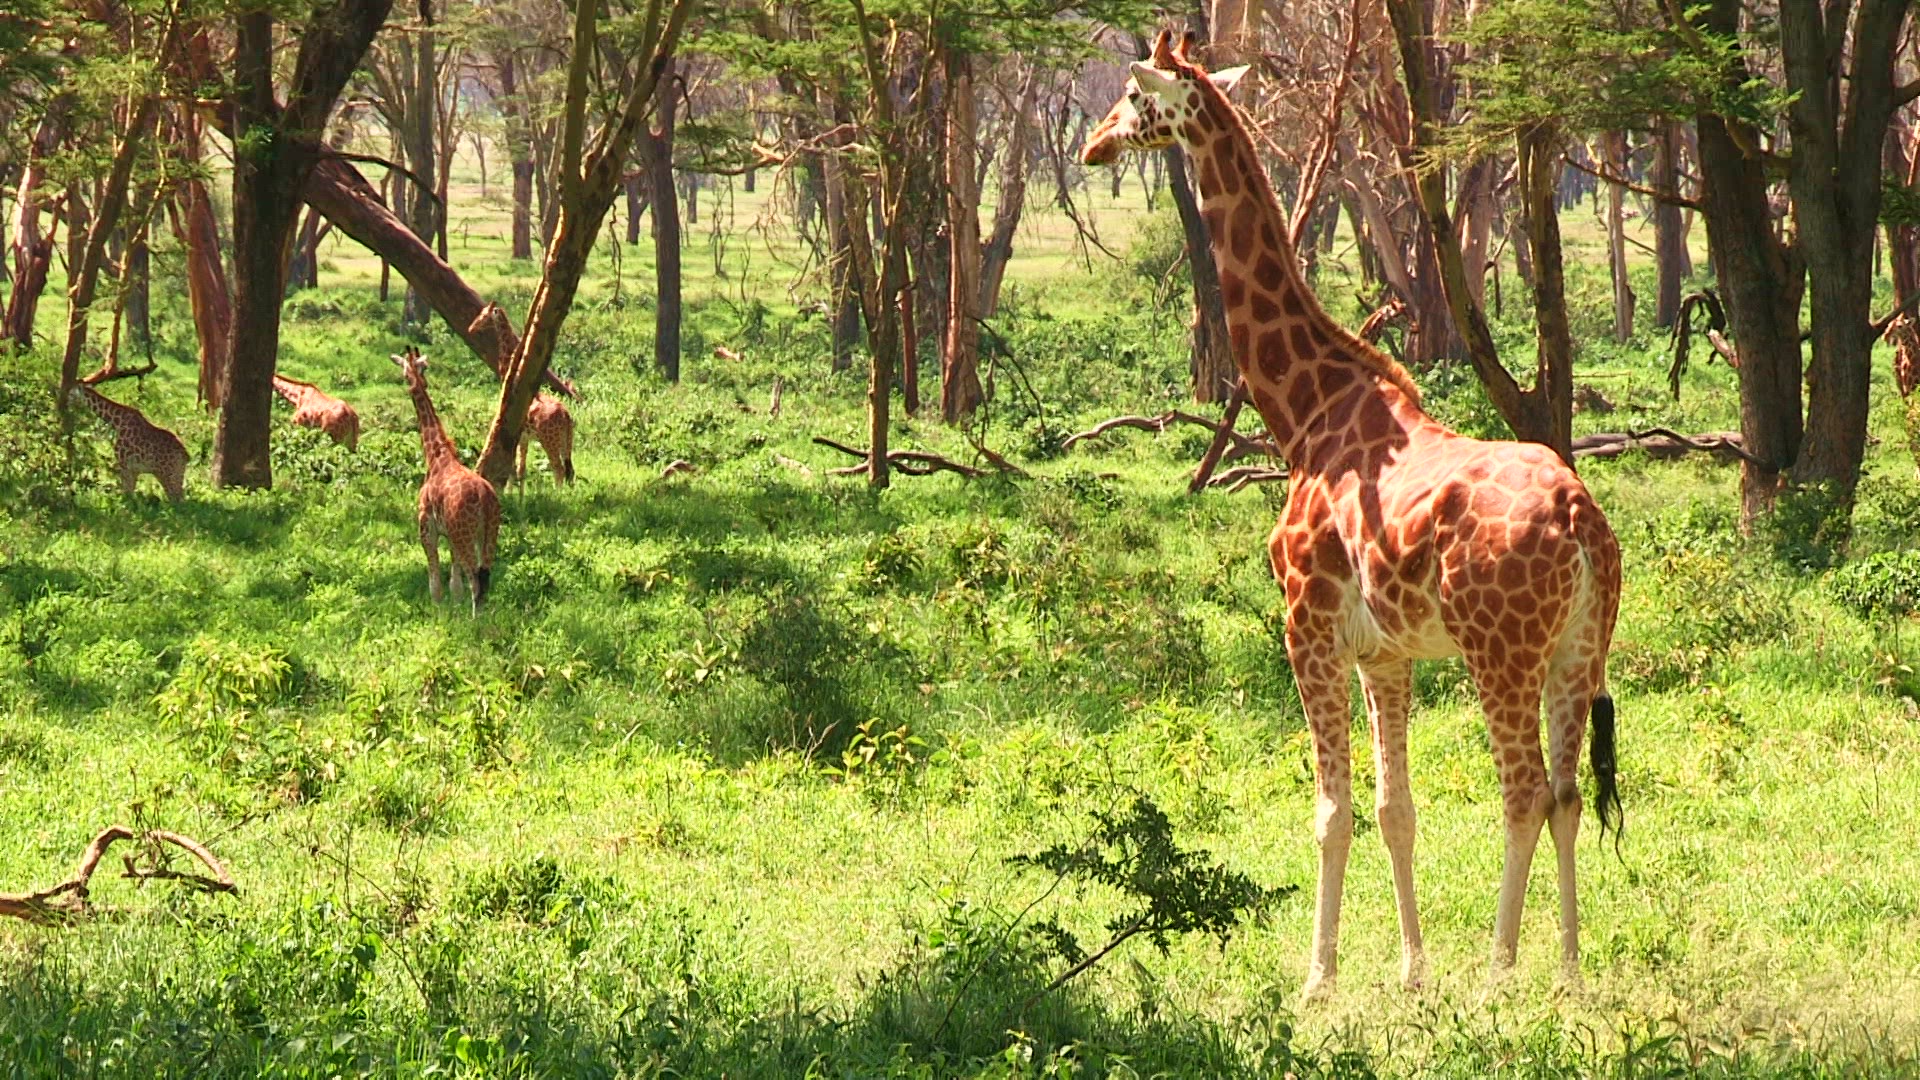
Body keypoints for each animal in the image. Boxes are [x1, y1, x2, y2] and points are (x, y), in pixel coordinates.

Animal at [392, 348, 500, 614]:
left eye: (403, 370)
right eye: (423, 368)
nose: (410, 383)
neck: (436, 455)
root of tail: (485, 498)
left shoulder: (426, 527)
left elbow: (436, 581)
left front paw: (438, 612)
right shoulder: (450, 533)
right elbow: (455, 583)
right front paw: (454, 610)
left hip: (465, 533)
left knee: (476, 579)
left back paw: (475, 621)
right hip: (488, 530)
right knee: (484, 577)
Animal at [1082, 31, 1622, 998]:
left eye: (1136, 99)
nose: (1091, 146)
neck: (1303, 410)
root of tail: (1580, 522)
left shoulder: (1306, 626)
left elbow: (1331, 810)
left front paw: (1318, 981)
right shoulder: (1386, 653)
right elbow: (1392, 807)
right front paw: (1411, 971)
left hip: (1500, 652)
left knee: (1523, 791)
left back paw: (1499, 971)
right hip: (1577, 650)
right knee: (1565, 795)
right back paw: (1564, 972)